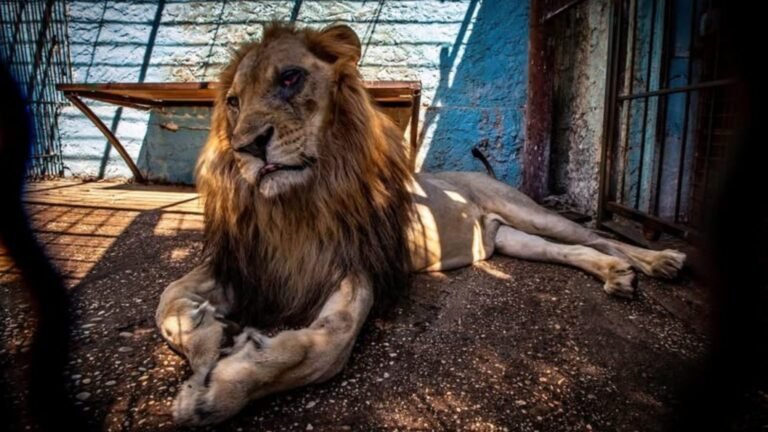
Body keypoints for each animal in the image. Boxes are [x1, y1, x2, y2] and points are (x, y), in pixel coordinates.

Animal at [155, 23, 686, 425]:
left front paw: (224, 384)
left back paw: (658, 260)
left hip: (528, 211)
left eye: (289, 78)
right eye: (232, 102)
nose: (246, 147)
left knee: (596, 235)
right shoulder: (246, 263)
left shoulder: (356, 265)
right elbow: (167, 304)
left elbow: (328, 345)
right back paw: (617, 276)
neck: (294, 205)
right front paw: (209, 340)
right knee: (572, 252)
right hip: (511, 241)